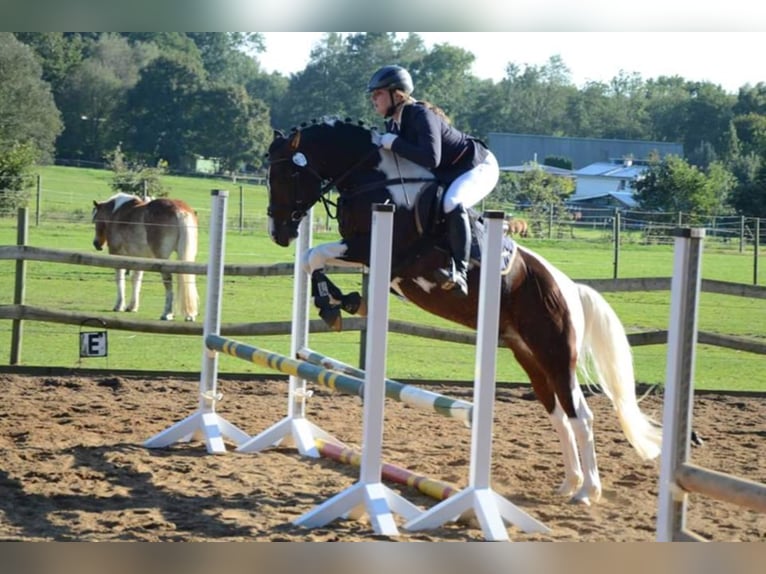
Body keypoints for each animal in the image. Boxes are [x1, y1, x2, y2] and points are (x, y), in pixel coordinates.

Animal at [91, 192, 200, 322]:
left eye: (96, 220)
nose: (96, 244)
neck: (116, 213)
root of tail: (179, 210)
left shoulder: (117, 255)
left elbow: (120, 280)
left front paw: (119, 305)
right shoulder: (139, 259)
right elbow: (136, 280)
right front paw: (132, 307)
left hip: (163, 258)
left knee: (168, 282)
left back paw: (167, 313)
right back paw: (189, 315)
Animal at [266, 118, 660, 508]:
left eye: (286, 175)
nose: (278, 234)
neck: (374, 179)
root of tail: (570, 289)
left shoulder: (379, 248)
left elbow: (313, 255)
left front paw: (333, 302)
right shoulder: (365, 253)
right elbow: (312, 259)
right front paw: (340, 301)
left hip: (557, 355)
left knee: (581, 416)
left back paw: (588, 491)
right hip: (530, 357)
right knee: (559, 416)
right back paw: (569, 484)